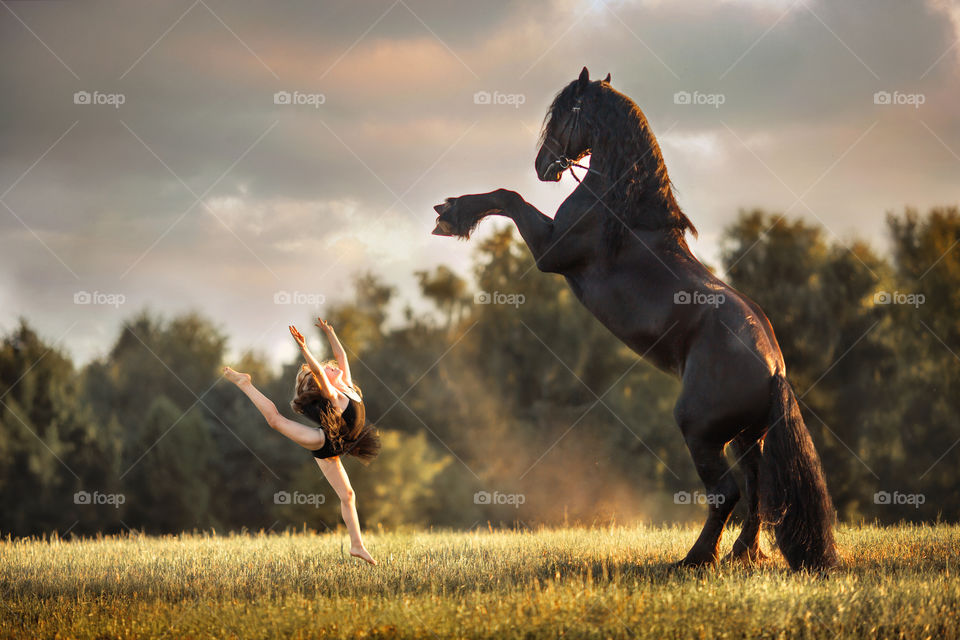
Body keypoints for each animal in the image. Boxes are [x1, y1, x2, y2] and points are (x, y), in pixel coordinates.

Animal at [432, 69, 836, 568]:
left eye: (566, 112)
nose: (544, 165)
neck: (617, 208)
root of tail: (774, 368)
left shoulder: (550, 251)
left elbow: (508, 197)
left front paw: (452, 214)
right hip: (746, 437)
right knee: (758, 489)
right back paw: (741, 555)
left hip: (700, 431)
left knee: (726, 492)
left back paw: (695, 559)